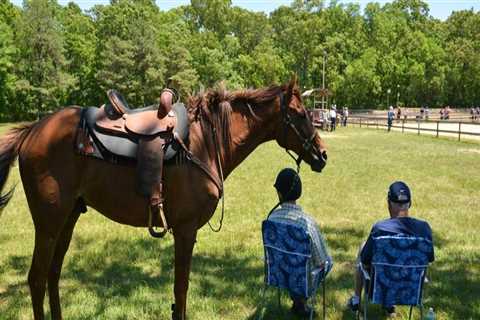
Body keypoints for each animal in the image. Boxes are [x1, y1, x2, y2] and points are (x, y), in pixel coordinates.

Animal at [0, 76, 326, 318]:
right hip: (48, 223)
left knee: (53, 275)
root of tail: (33, 130)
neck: (205, 142)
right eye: (300, 114)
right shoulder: (185, 230)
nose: (322, 154)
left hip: (67, 219)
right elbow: (181, 288)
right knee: (37, 278)